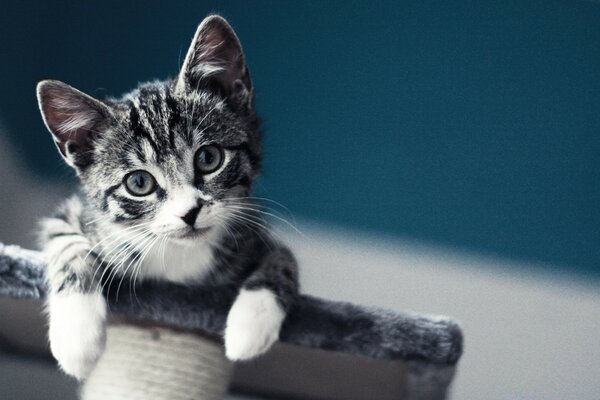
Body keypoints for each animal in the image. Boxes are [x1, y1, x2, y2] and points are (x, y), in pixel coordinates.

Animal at [35, 14, 298, 380]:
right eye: (139, 182)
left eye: (209, 158)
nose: (190, 212)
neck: (179, 254)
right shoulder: (76, 215)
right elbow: (66, 246)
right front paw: (77, 338)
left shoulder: (252, 230)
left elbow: (283, 259)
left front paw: (251, 324)